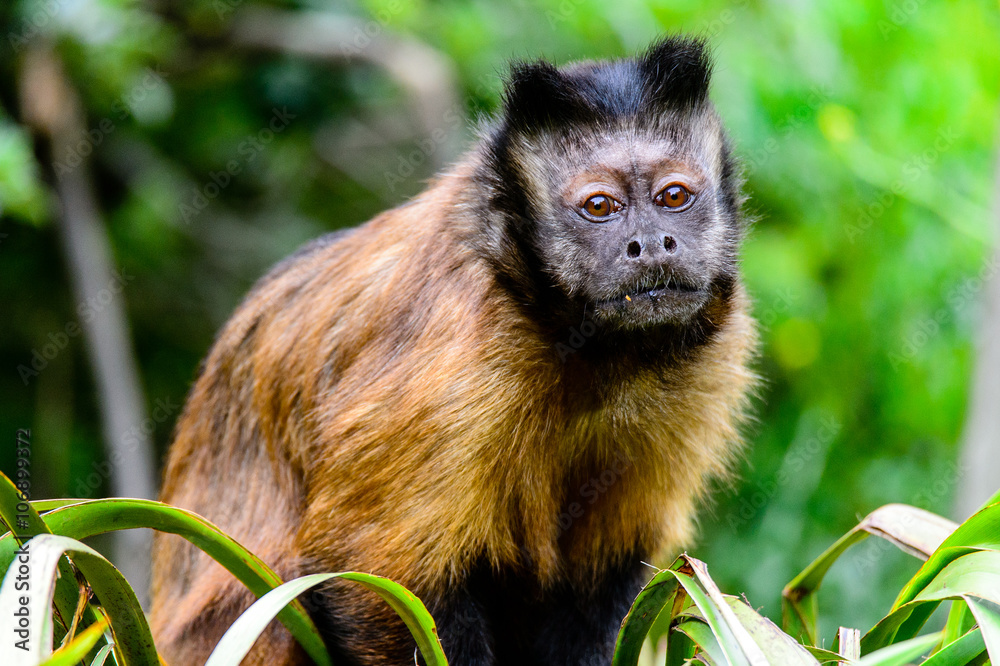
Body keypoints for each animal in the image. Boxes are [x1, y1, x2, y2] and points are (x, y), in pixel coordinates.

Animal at [150, 36, 757, 666]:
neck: (573, 338)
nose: (652, 243)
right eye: (600, 207)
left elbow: (599, 577)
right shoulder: (457, 359)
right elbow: (368, 566)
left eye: (673, 197)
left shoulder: (709, 363)